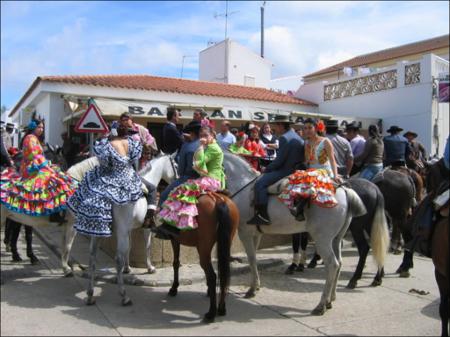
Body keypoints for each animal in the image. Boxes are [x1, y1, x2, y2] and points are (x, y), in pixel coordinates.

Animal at [167, 190, 241, 322]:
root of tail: (219, 199)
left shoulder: (175, 239)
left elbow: (176, 263)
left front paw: (174, 288)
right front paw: (208, 291)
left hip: (203, 247)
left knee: (212, 276)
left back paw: (211, 313)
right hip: (225, 242)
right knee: (223, 274)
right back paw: (221, 308)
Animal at [223, 152, 368, 316]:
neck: (244, 186)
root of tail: (343, 190)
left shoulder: (245, 233)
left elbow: (252, 259)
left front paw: (252, 289)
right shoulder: (256, 234)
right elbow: (253, 258)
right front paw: (256, 286)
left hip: (322, 240)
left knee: (332, 264)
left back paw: (321, 305)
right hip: (336, 239)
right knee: (339, 263)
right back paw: (331, 300)